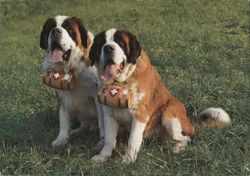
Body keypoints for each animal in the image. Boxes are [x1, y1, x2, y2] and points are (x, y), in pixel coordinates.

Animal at [39, 14, 103, 147]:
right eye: (50, 28)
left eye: (69, 29)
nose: (55, 31)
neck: (71, 66)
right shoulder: (62, 96)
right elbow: (63, 118)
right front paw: (61, 139)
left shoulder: (96, 93)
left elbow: (102, 119)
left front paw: (102, 140)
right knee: (84, 124)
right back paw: (76, 131)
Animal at [89, 28, 230, 164]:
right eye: (102, 43)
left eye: (120, 43)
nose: (108, 48)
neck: (123, 81)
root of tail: (189, 123)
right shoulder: (109, 114)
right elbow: (109, 139)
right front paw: (103, 156)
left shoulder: (140, 114)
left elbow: (133, 140)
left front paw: (128, 159)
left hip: (169, 114)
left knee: (187, 138)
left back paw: (177, 148)